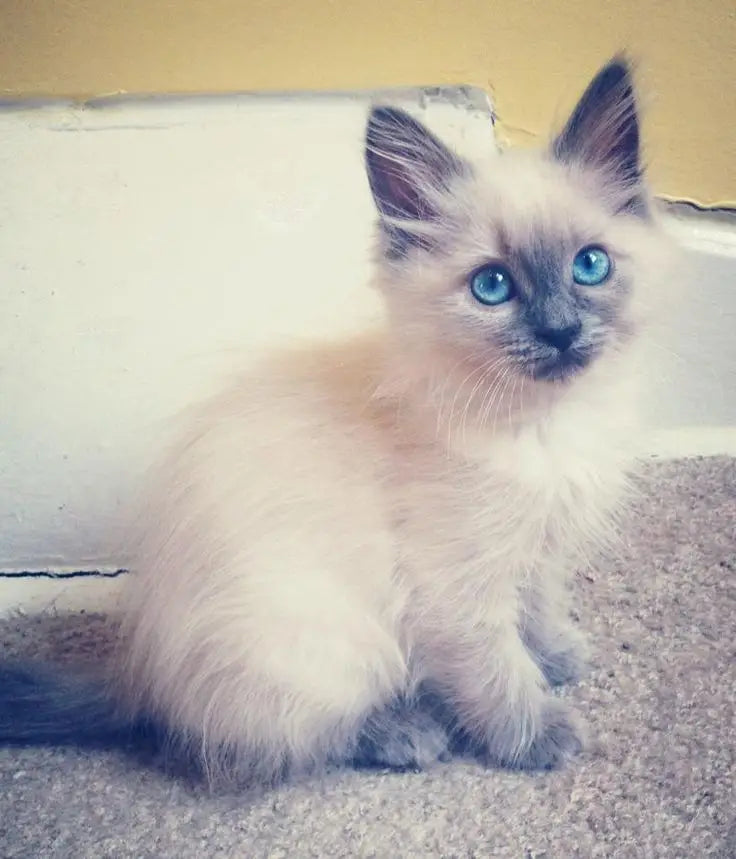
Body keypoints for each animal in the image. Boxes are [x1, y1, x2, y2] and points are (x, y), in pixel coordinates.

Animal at [2, 57, 676, 788]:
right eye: (492, 286)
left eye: (590, 265)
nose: (559, 332)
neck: (545, 427)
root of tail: (141, 674)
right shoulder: (455, 588)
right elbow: (496, 671)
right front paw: (539, 732)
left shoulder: (538, 545)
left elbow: (537, 607)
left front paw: (556, 656)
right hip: (327, 645)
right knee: (278, 734)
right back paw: (407, 732)